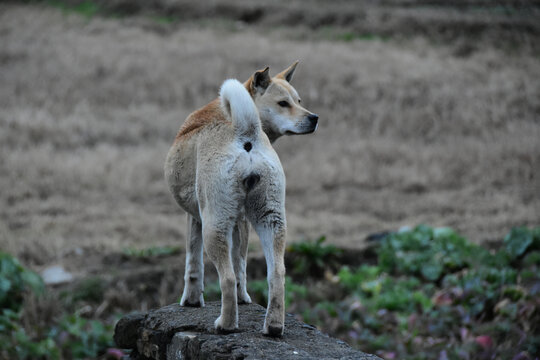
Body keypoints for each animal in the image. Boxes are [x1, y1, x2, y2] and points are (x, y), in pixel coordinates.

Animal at [163, 61, 316, 334]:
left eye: (298, 101)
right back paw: (273, 327)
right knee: (276, 274)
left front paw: (191, 301)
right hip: (271, 220)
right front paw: (244, 298)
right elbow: (241, 262)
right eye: (284, 103)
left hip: (215, 225)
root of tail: (245, 131)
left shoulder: (196, 218)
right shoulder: (242, 221)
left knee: (226, 277)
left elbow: (194, 263)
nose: (314, 118)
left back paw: (226, 324)